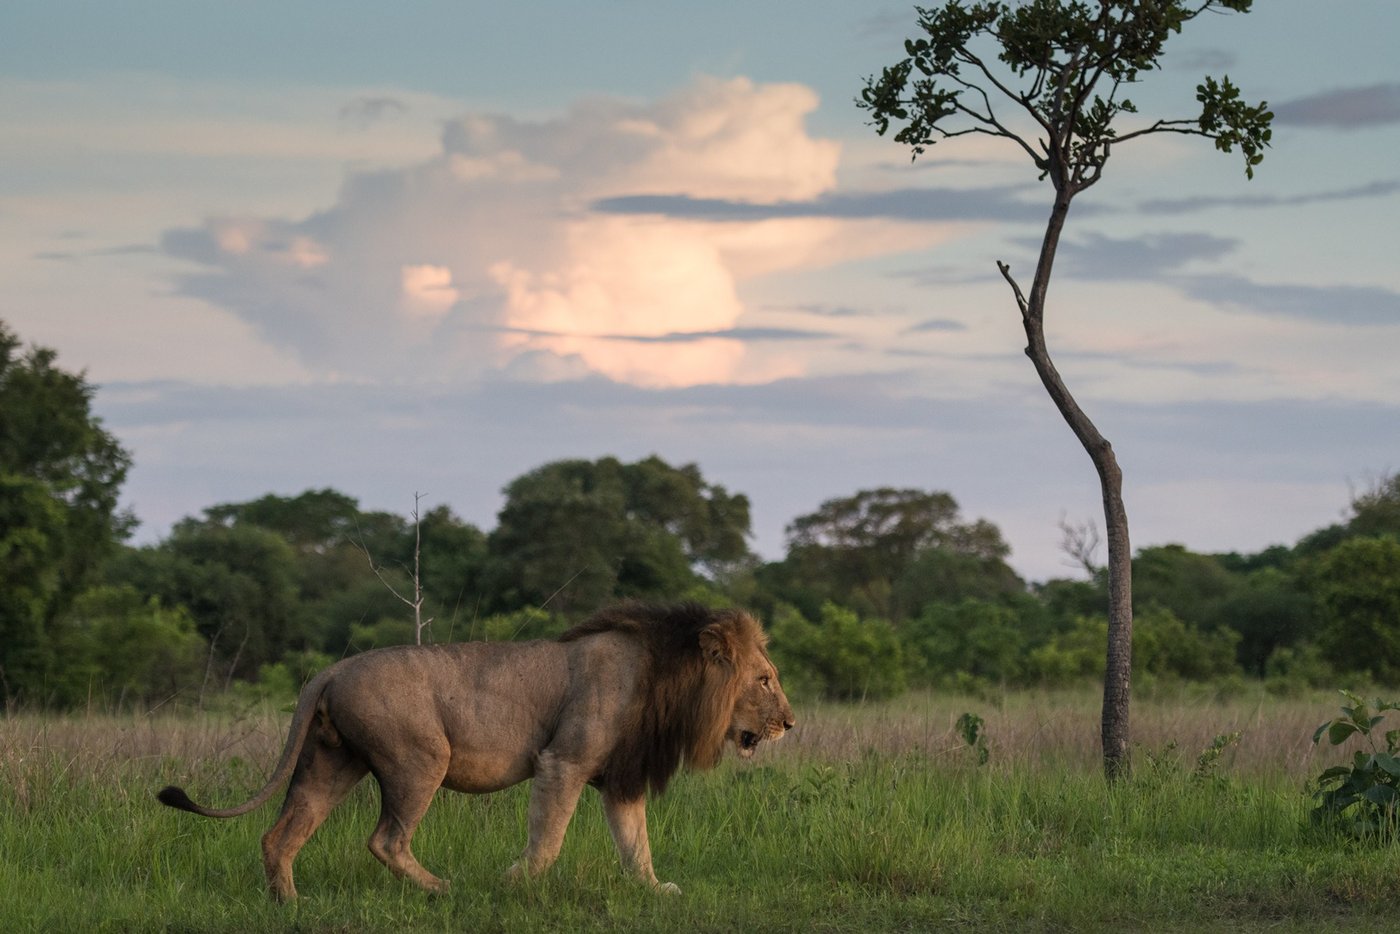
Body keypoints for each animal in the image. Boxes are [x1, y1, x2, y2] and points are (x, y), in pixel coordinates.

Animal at [156, 602, 794, 900]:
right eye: (765, 680)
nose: (790, 722)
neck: (668, 679)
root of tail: (330, 670)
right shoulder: (562, 760)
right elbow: (549, 838)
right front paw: (514, 884)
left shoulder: (620, 777)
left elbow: (636, 844)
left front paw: (654, 890)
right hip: (419, 759)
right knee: (385, 840)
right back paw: (444, 890)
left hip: (330, 763)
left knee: (280, 834)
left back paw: (291, 906)